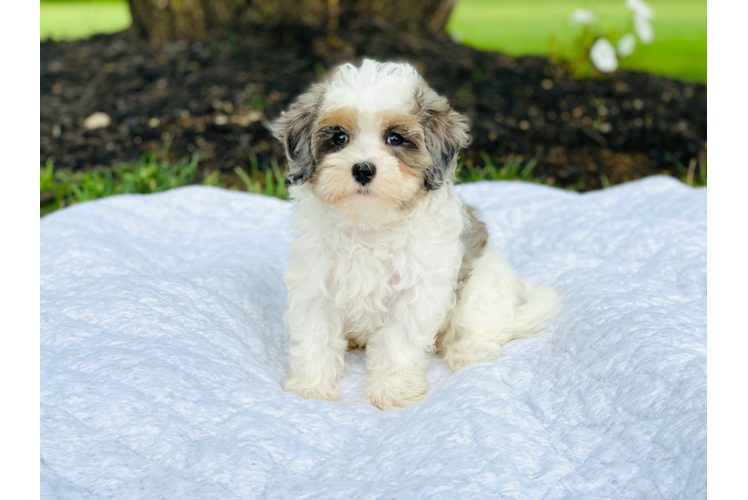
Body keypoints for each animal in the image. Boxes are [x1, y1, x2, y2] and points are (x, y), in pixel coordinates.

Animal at [274, 59, 560, 410]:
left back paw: (469, 351)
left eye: (395, 139)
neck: (369, 224)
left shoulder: (416, 294)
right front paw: (311, 389)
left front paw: (392, 392)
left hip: (482, 286)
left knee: (485, 325)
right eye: (339, 138)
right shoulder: (315, 287)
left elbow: (397, 345)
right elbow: (315, 337)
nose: (363, 169)